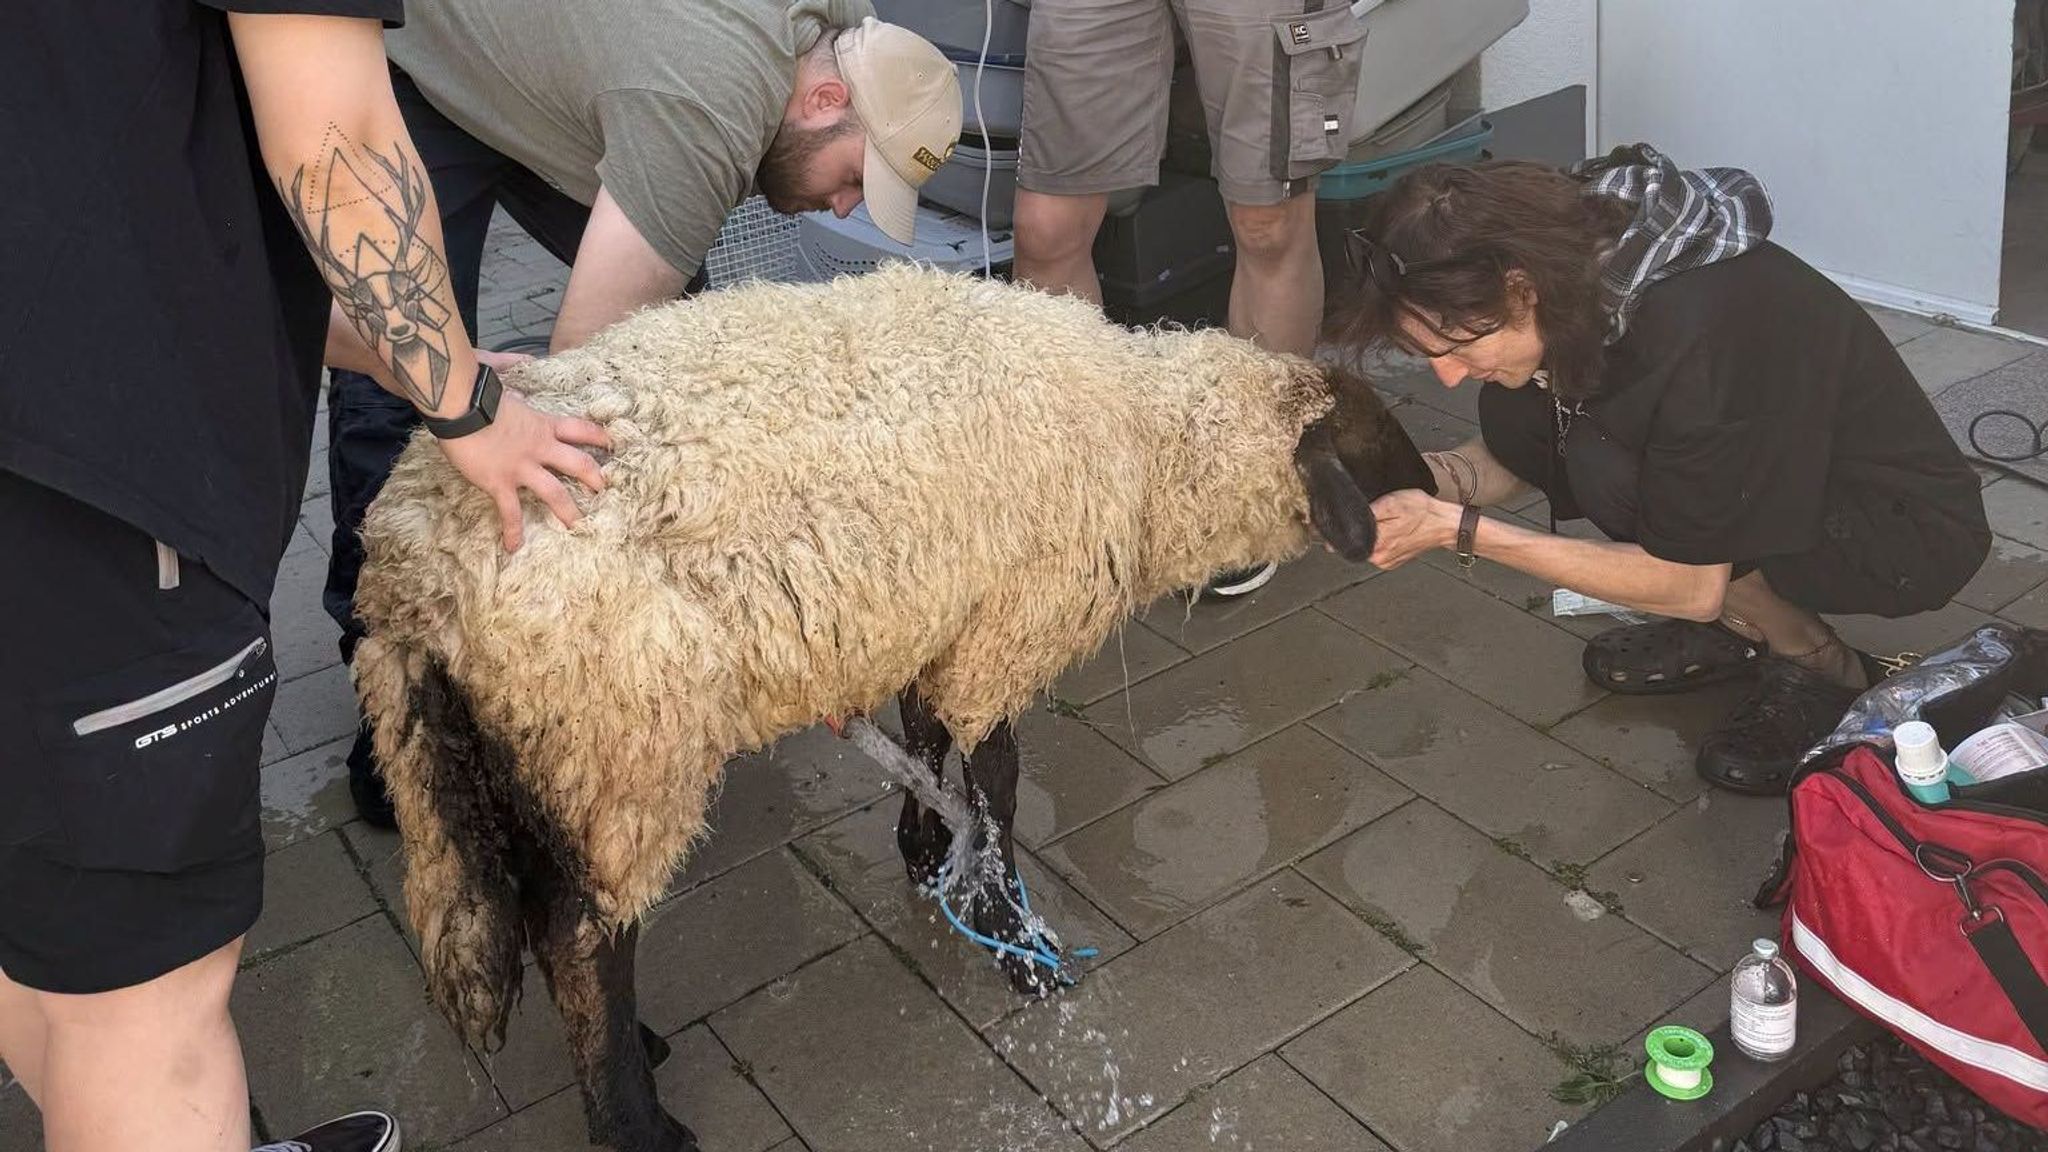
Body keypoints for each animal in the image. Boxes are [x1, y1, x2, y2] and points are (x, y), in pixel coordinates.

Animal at [349, 263, 1433, 1152]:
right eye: (1381, 443)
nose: (1442, 503)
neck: (1146, 439)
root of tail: (409, 580)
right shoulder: (1007, 624)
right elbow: (998, 781)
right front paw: (1017, 939)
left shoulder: (943, 611)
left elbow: (926, 736)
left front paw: (923, 852)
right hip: (616, 734)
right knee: (582, 939)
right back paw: (634, 1124)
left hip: (528, 751)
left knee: (552, 915)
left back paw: (640, 1050)